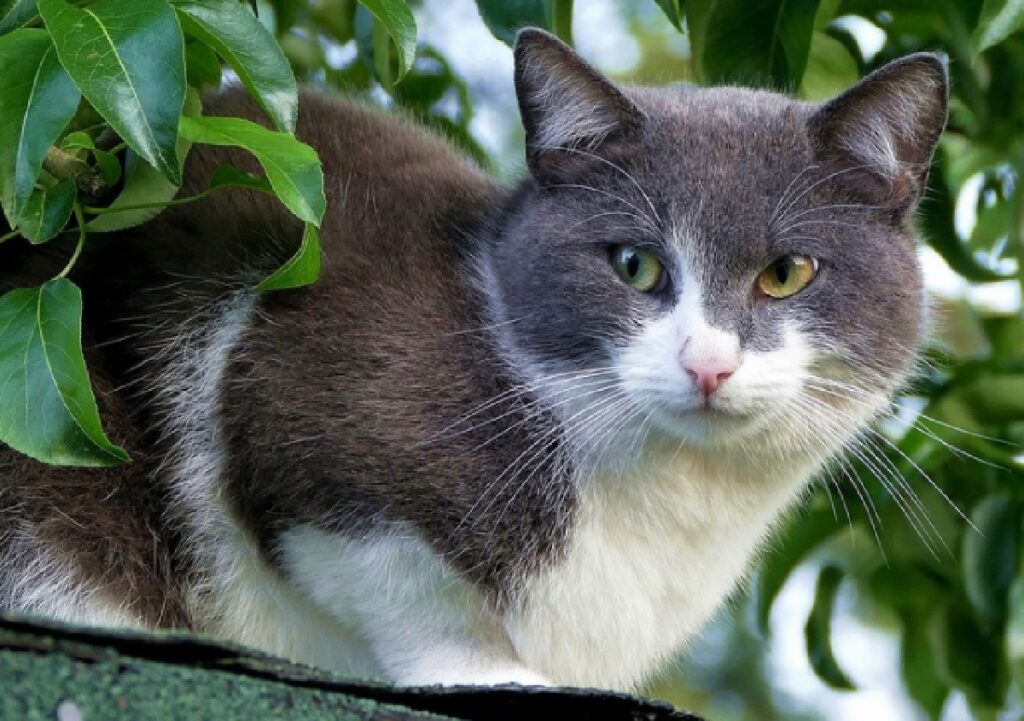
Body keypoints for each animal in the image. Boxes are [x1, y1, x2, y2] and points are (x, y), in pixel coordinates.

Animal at [0, 30, 942, 688]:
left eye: (788, 272)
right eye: (634, 264)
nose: (708, 364)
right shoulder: (295, 394)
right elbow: (404, 579)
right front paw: (493, 672)